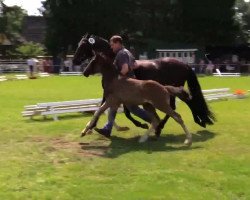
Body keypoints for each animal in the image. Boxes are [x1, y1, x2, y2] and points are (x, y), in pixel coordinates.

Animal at [73, 34, 215, 134]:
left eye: (82, 45)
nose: (74, 60)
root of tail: (185, 64)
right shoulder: (111, 94)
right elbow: (104, 107)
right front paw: (91, 127)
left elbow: (125, 112)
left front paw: (141, 124)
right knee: (180, 104)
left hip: (174, 89)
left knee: (183, 104)